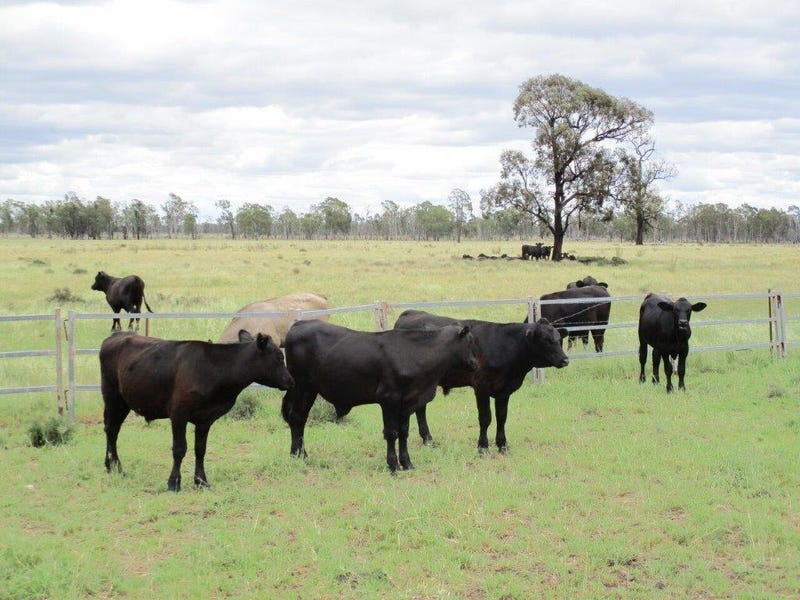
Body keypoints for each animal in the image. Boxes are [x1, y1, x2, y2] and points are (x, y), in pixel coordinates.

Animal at [100, 330, 294, 491]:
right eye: (279, 356)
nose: (291, 381)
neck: (212, 370)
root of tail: (116, 335)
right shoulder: (178, 413)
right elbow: (179, 448)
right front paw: (173, 483)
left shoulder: (205, 419)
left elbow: (200, 449)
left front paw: (201, 481)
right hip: (112, 397)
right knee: (112, 430)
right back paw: (116, 467)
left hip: (123, 402)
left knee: (112, 430)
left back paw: (110, 466)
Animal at [281, 319, 480, 473]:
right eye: (469, 342)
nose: (475, 364)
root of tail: (299, 323)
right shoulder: (388, 399)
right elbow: (391, 433)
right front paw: (393, 466)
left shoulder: (407, 402)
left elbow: (404, 432)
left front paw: (407, 463)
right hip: (302, 386)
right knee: (296, 417)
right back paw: (298, 455)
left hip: (309, 389)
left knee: (300, 419)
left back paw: (299, 454)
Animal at [394, 309, 569, 453]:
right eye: (545, 340)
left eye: (558, 338)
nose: (565, 359)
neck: (504, 346)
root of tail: (410, 313)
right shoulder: (481, 386)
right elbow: (485, 417)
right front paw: (483, 447)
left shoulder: (504, 391)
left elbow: (502, 417)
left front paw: (502, 445)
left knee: (420, 409)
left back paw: (428, 440)